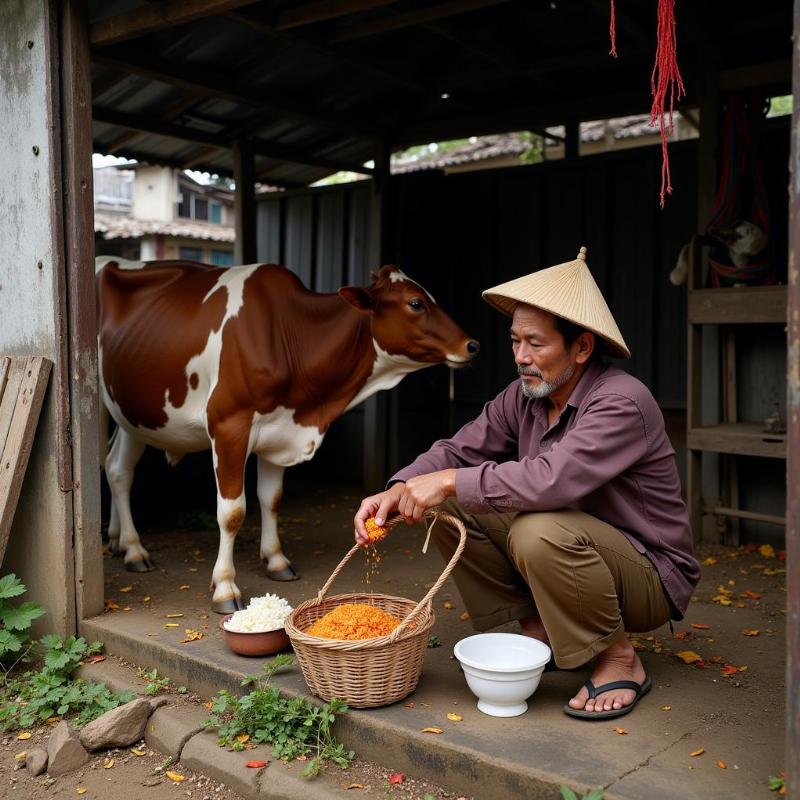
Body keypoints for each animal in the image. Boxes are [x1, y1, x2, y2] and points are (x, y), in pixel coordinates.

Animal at [97, 256, 478, 612]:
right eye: (415, 302)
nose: (471, 345)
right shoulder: (228, 426)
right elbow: (232, 512)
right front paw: (225, 587)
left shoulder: (280, 431)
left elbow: (272, 498)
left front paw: (276, 560)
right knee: (115, 470)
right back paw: (134, 548)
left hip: (132, 413)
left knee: (116, 467)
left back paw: (122, 543)